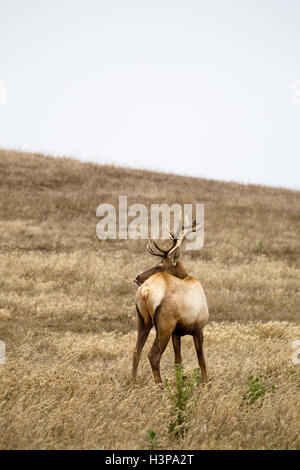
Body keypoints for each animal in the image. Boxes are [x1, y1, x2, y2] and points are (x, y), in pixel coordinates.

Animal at [131, 220, 209, 386]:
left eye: (159, 266)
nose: (137, 277)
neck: (188, 277)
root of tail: (145, 290)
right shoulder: (198, 328)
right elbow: (201, 361)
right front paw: (206, 384)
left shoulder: (176, 332)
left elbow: (178, 361)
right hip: (164, 324)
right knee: (153, 355)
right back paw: (160, 387)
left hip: (143, 321)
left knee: (136, 352)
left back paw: (132, 385)